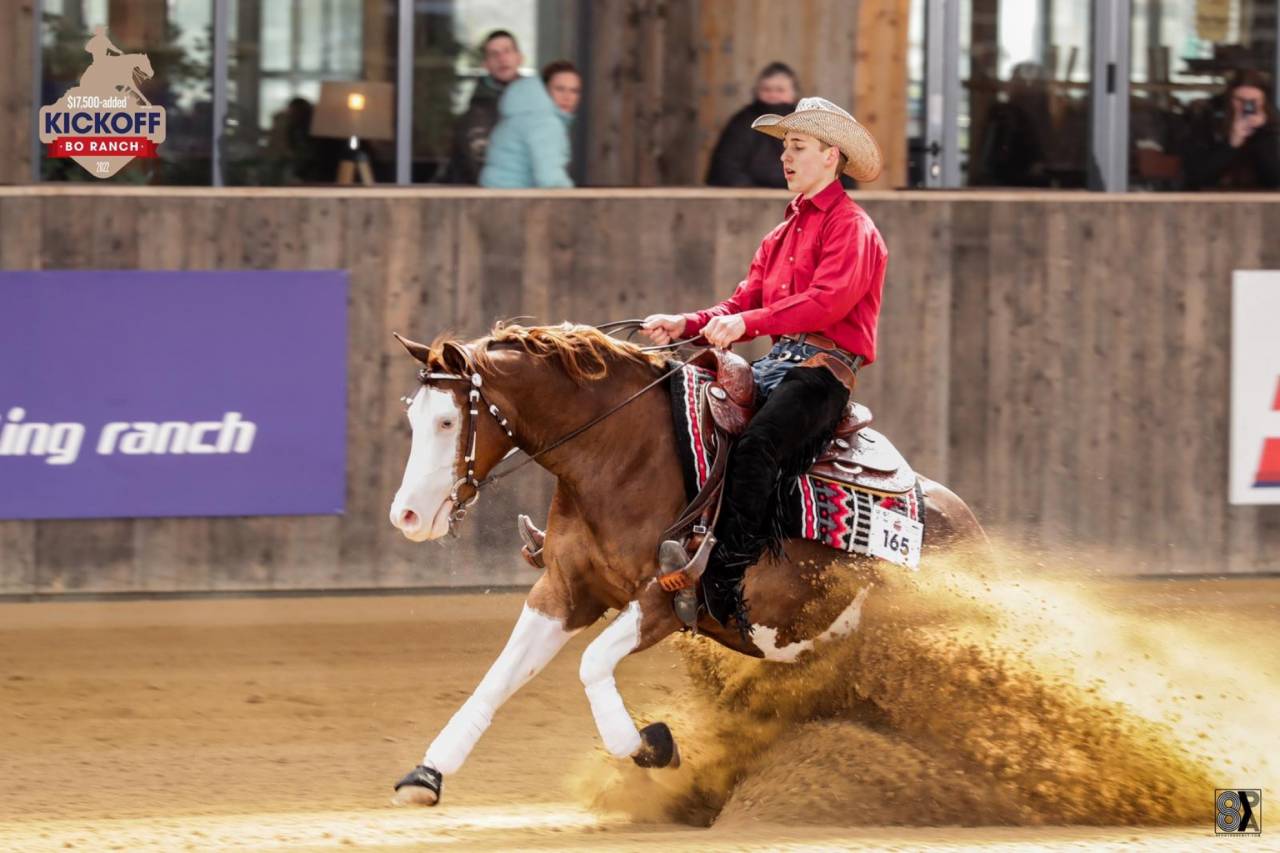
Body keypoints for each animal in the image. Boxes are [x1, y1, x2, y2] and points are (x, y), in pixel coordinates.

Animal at [387, 323, 987, 806]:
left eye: (447, 422)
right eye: (412, 414)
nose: (406, 515)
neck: (621, 455)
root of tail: (966, 523)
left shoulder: (666, 597)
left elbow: (592, 663)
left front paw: (652, 744)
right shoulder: (563, 590)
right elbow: (499, 677)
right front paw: (427, 774)